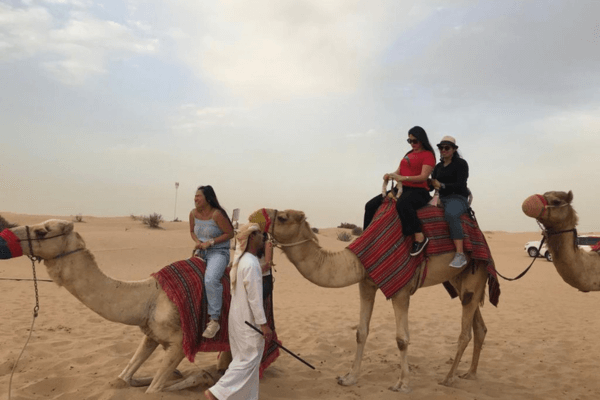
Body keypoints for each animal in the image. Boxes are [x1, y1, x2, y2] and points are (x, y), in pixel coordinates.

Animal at [5, 219, 231, 393]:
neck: (149, 297)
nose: (6, 236)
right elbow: (122, 379)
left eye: (42, 231)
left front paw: (202, 376)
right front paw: (175, 373)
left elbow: (154, 390)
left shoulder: (179, 343)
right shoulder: (151, 334)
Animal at [257, 208, 494, 392]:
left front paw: (402, 384)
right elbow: (361, 332)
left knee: (465, 333)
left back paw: (448, 378)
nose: (256, 216)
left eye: (283, 218)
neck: (357, 258)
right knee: (479, 326)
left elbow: (402, 339)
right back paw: (470, 373)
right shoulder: (366, 284)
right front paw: (349, 378)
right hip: (459, 279)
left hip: (476, 273)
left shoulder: (400, 290)